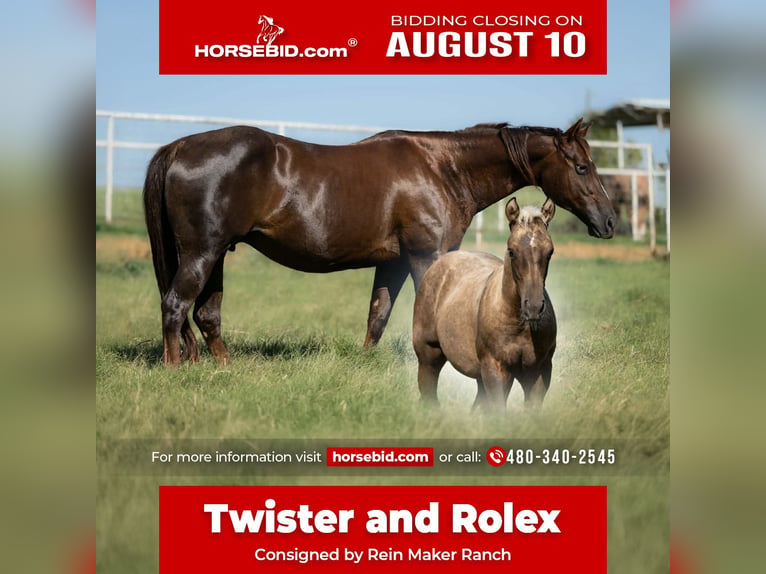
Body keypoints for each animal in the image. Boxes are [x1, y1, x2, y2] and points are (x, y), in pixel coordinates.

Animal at [142, 119, 614, 367]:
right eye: (582, 167)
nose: (609, 222)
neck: (442, 168)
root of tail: (178, 147)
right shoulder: (427, 257)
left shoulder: (394, 262)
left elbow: (378, 315)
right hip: (202, 254)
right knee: (175, 306)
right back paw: (174, 369)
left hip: (216, 256)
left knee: (206, 314)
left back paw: (222, 367)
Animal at [412, 197, 557, 410]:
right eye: (511, 251)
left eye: (550, 251)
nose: (534, 307)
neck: (518, 323)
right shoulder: (494, 369)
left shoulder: (539, 372)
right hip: (428, 358)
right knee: (430, 395)